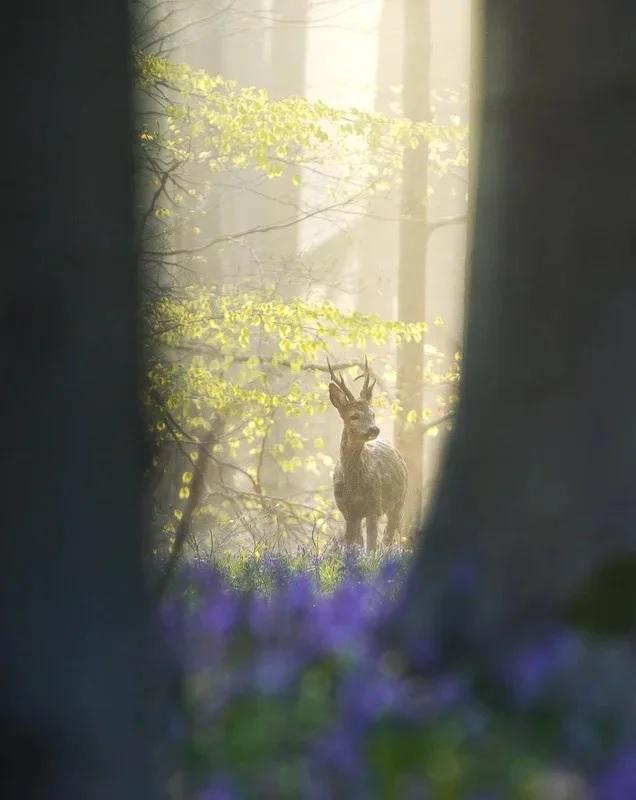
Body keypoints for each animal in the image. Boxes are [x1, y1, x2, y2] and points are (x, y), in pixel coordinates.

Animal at [328, 358, 408, 552]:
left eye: (372, 414)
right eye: (353, 416)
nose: (374, 429)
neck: (353, 485)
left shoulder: (374, 507)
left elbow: (371, 547)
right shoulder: (348, 512)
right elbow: (352, 547)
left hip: (399, 502)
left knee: (390, 538)